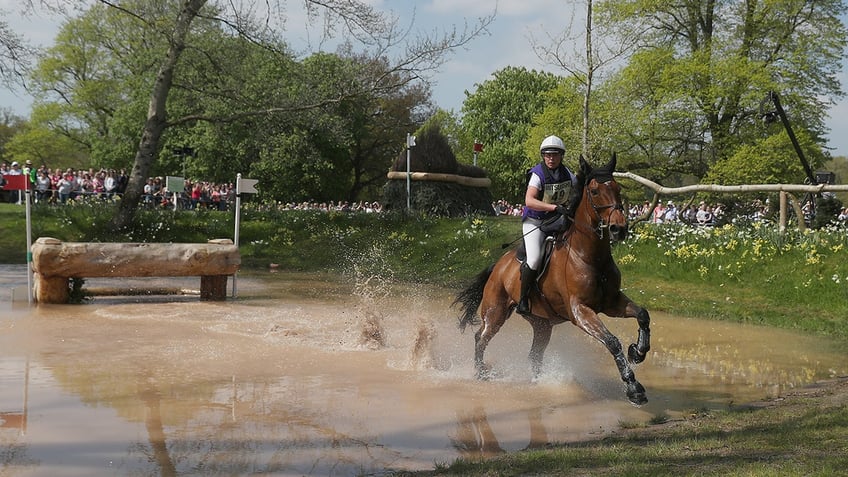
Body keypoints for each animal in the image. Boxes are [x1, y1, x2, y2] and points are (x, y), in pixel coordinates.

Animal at [454, 153, 652, 406]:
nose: (619, 228)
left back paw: (538, 382)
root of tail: (498, 266)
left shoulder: (611, 303)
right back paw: (481, 374)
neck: (589, 256)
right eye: (595, 191)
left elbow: (642, 314)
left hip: (542, 324)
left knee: (533, 354)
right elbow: (612, 341)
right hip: (495, 312)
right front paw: (633, 387)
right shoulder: (580, 311)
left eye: (617, 188)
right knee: (481, 338)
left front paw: (638, 352)